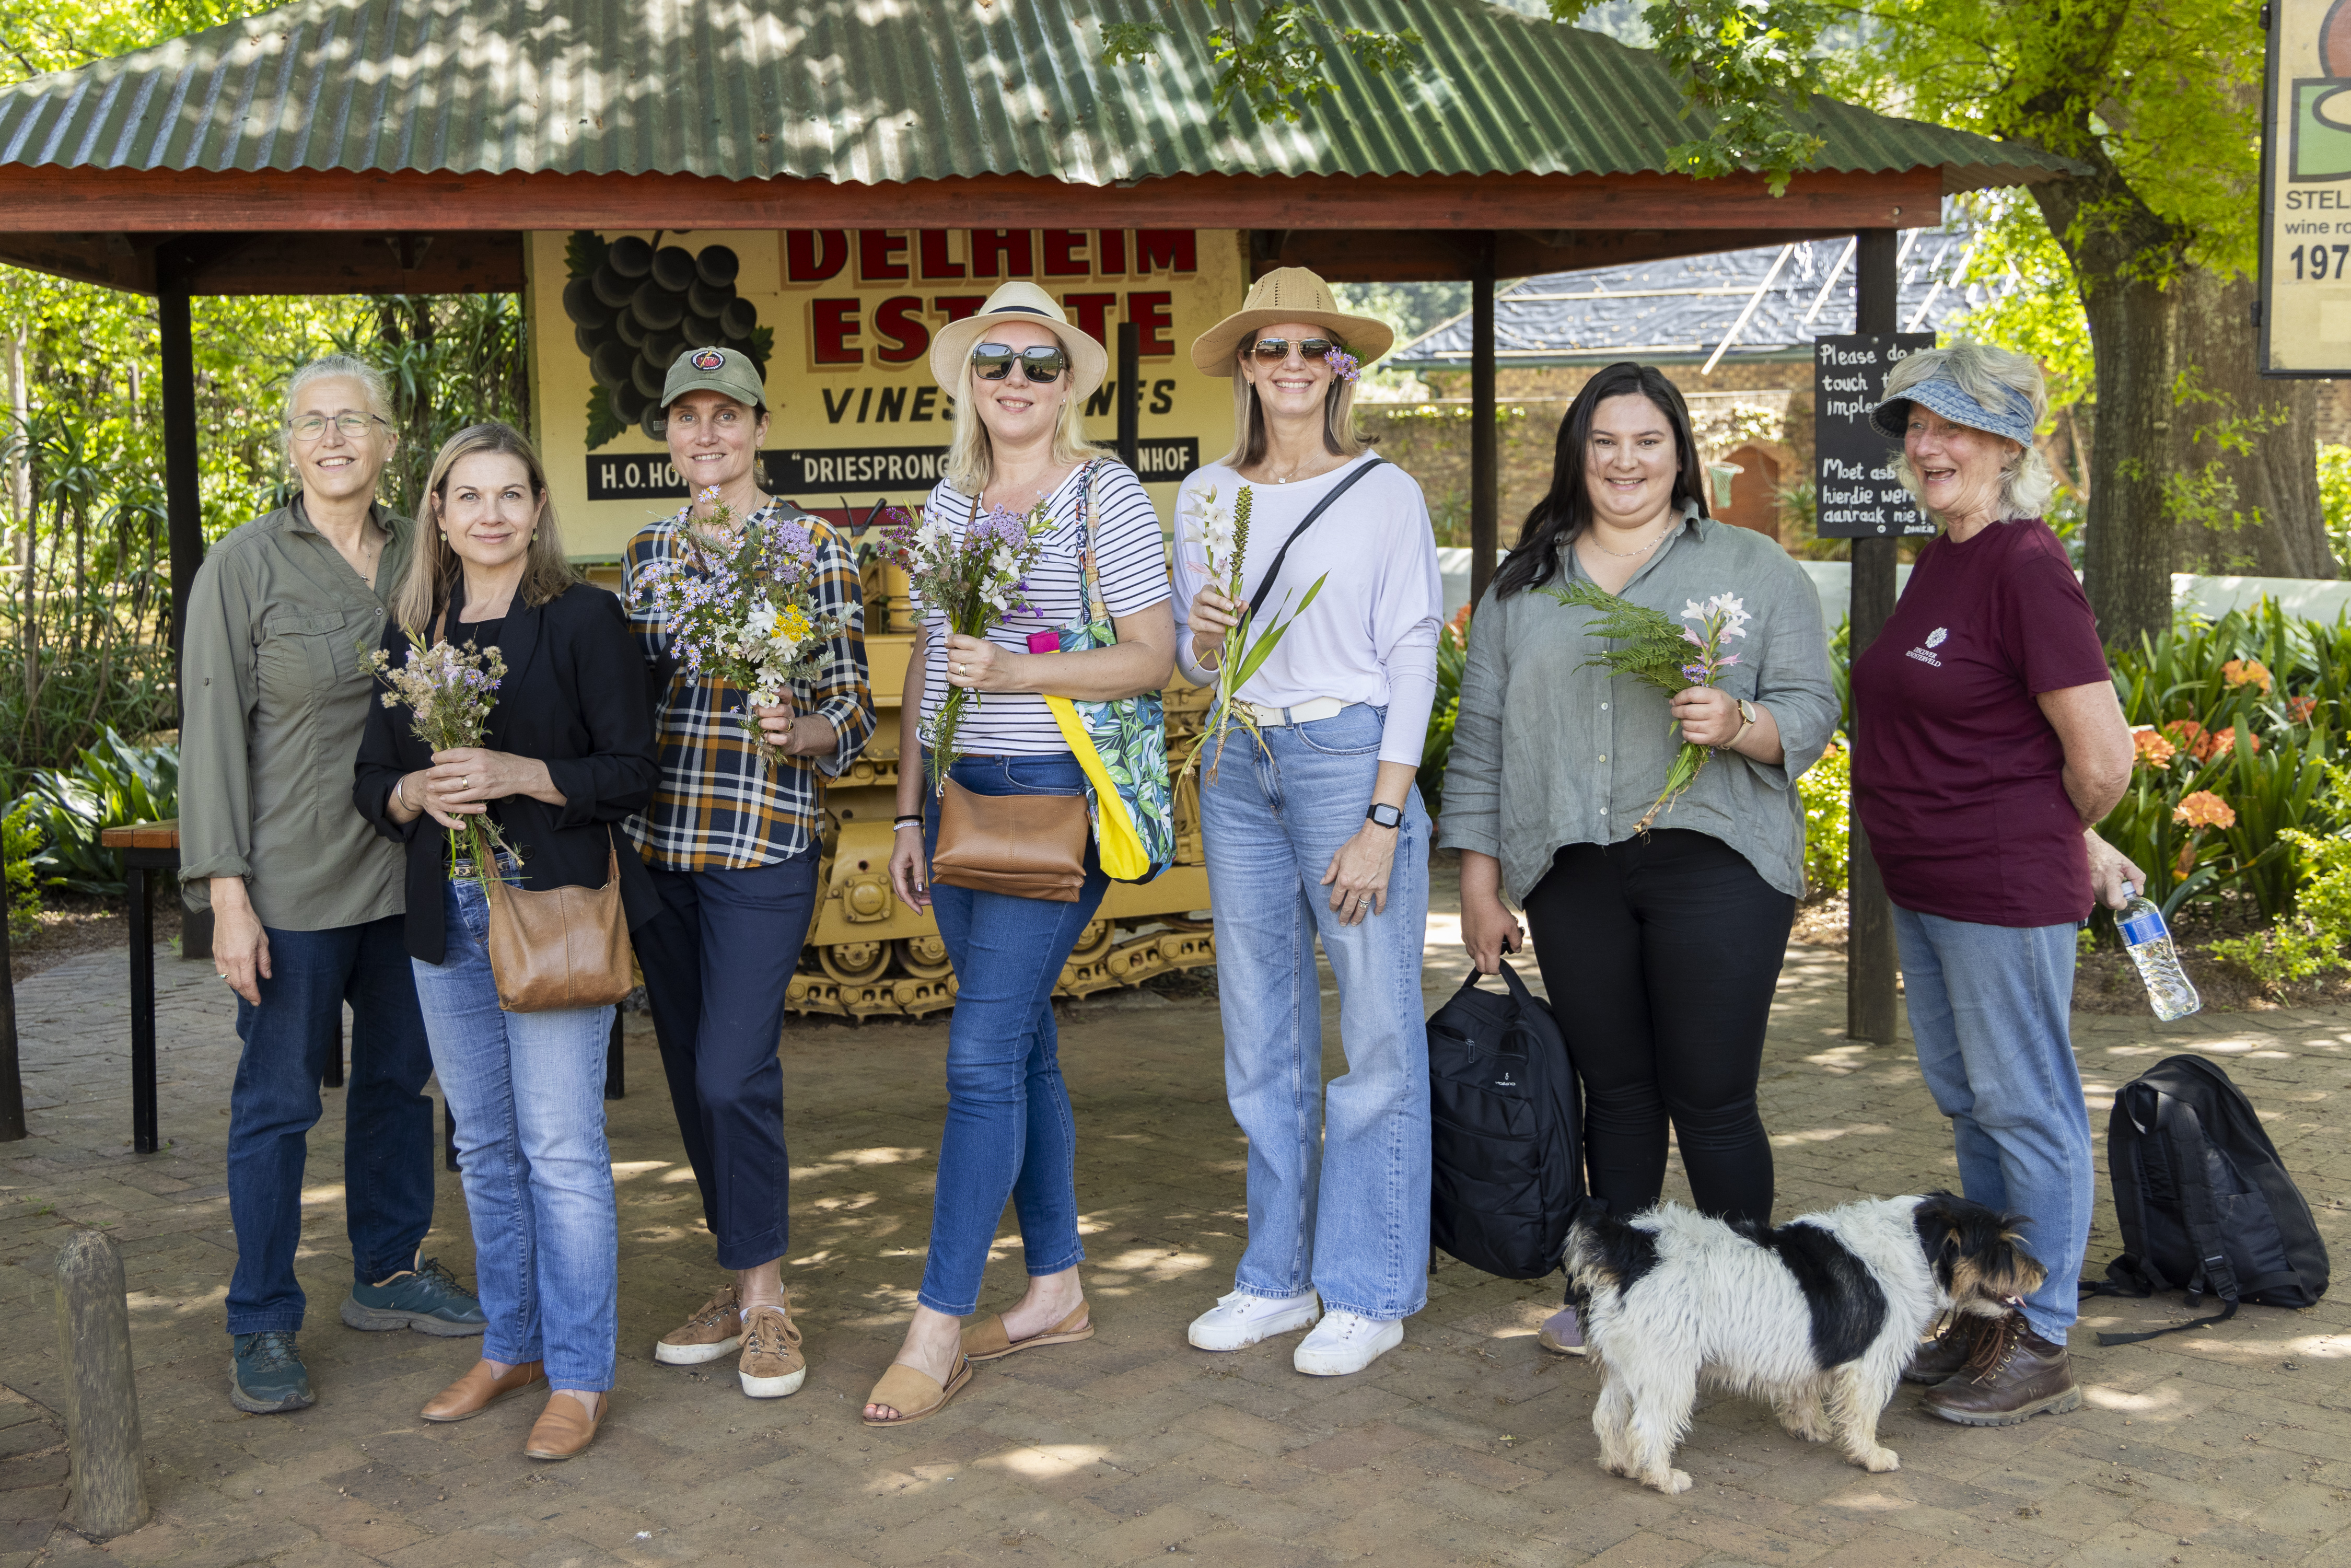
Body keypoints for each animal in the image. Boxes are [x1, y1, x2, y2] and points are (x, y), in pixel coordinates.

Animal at [1561, 1203, 2041, 1495]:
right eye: (2000, 1247)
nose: (2045, 1272)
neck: (1913, 1246)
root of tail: (1634, 1247)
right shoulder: (1870, 1366)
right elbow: (1863, 1416)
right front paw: (1869, 1456)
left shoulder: (1810, 1354)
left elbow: (1805, 1390)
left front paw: (1809, 1427)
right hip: (1667, 1371)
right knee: (1648, 1427)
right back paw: (1661, 1477)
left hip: (1627, 1365)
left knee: (1608, 1417)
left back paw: (1620, 1464)